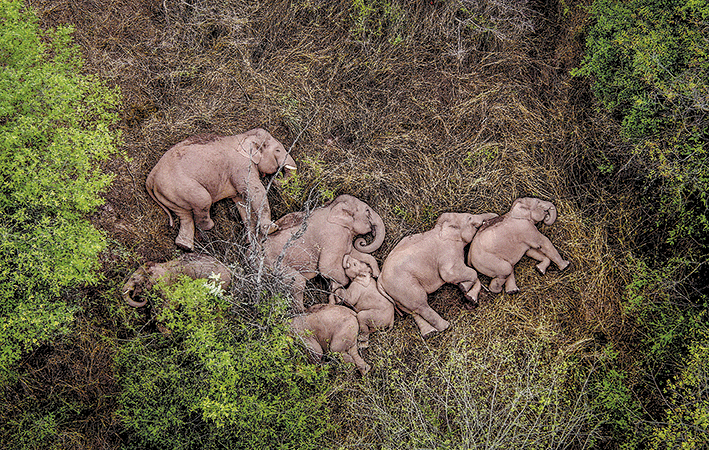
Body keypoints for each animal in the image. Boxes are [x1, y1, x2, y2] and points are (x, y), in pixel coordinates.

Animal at [147, 128, 296, 251]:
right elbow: (254, 190)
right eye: (277, 150)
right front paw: (272, 228)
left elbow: (242, 201)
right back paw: (208, 227)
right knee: (203, 200)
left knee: (184, 215)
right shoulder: (241, 166)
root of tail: (151, 176)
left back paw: (184, 246)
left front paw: (251, 241)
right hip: (179, 185)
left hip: (169, 193)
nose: (276, 178)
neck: (244, 136)